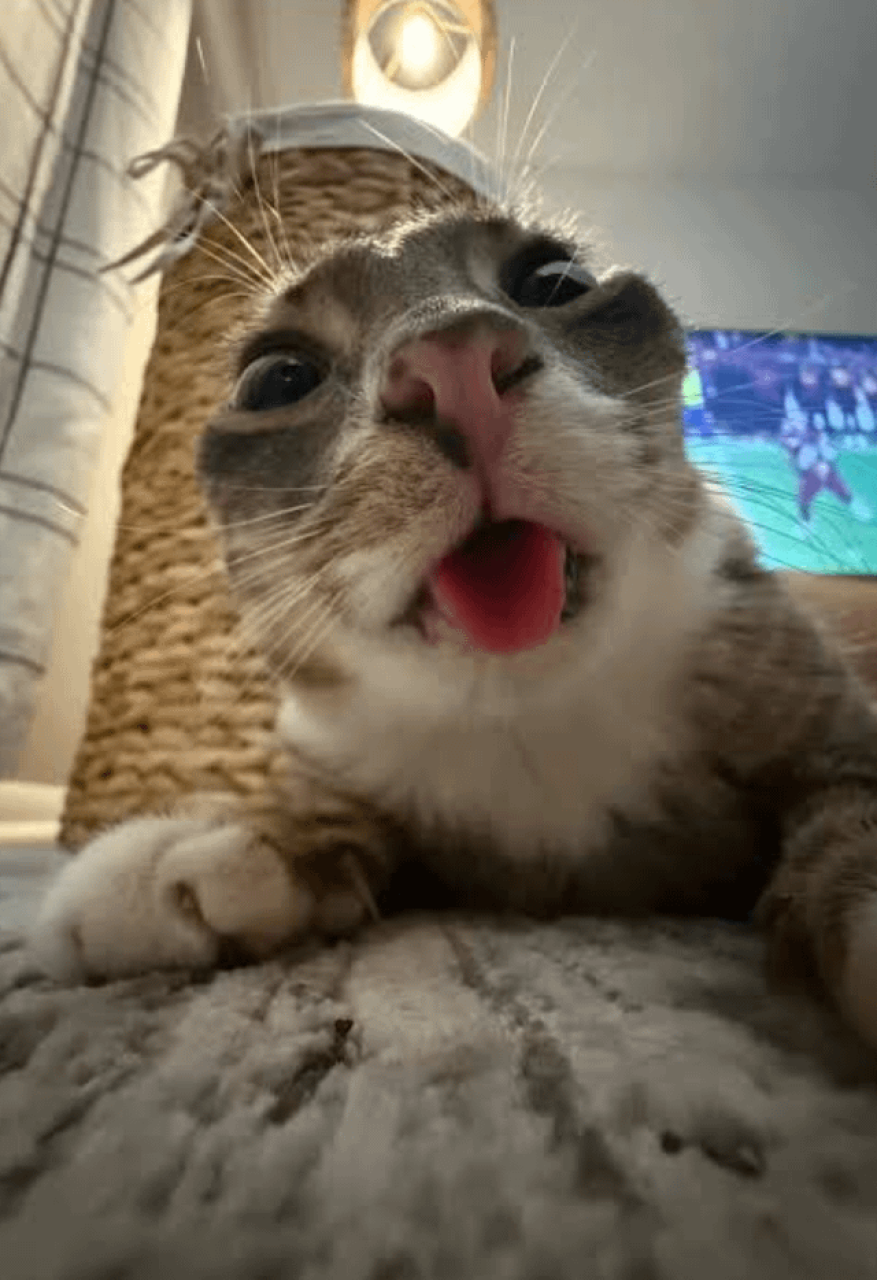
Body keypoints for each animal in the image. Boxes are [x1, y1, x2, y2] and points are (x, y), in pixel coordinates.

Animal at [30, 199, 877, 1054]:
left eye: (554, 281)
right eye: (277, 377)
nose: (450, 362)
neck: (531, 721)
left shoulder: (824, 722)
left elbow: (847, 812)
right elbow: (347, 815)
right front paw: (233, 838)